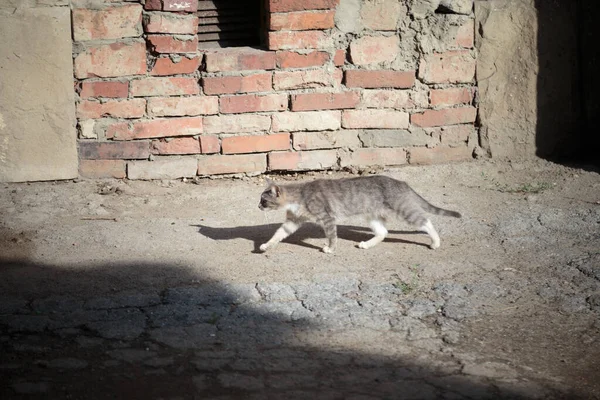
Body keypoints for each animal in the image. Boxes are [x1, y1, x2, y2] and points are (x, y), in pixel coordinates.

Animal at [256, 175, 460, 253]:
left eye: (264, 200)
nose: (258, 206)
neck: (299, 195)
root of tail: (401, 182)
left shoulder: (327, 218)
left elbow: (332, 235)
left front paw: (330, 248)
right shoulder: (293, 221)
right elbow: (278, 234)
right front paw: (266, 245)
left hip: (404, 210)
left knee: (426, 221)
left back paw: (435, 242)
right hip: (372, 216)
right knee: (383, 232)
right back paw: (367, 244)